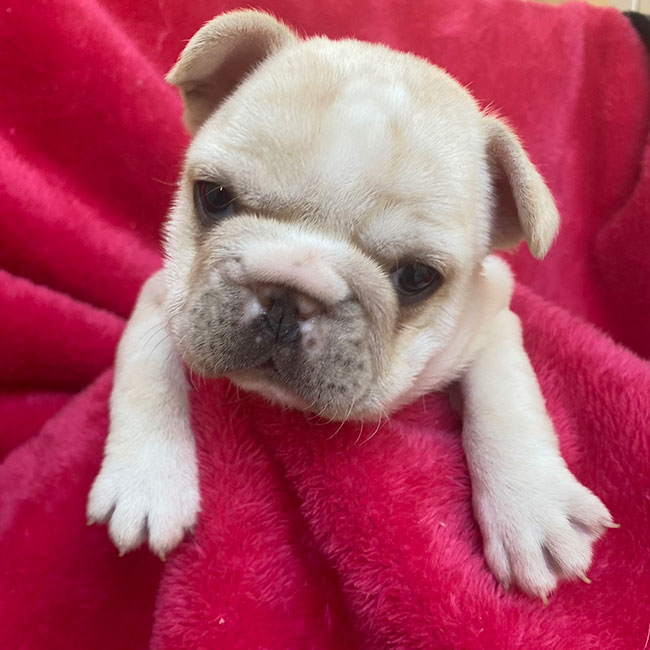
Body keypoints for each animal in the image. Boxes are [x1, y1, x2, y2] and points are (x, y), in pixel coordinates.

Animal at [87, 10, 615, 601]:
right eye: (214, 197)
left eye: (416, 277)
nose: (286, 296)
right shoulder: (167, 294)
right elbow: (146, 367)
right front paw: (146, 481)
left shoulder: (492, 318)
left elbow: (508, 399)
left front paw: (531, 506)